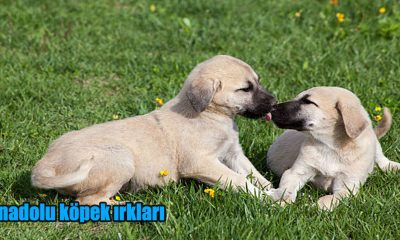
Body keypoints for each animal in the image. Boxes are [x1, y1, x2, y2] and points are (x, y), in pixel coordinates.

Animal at [31, 54, 276, 204]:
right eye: (245, 89)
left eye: (258, 81)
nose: (274, 103)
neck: (211, 113)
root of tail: (46, 163)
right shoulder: (201, 162)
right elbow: (240, 180)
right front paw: (270, 200)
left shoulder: (233, 153)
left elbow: (253, 173)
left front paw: (273, 189)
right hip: (120, 158)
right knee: (89, 201)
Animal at [266, 86, 400, 210]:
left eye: (307, 101)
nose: (272, 108)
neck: (330, 146)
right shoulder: (295, 172)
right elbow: (286, 188)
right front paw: (282, 200)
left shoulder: (347, 187)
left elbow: (329, 198)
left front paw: (316, 207)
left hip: (375, 146)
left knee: (382, 160)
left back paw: (393, 167)